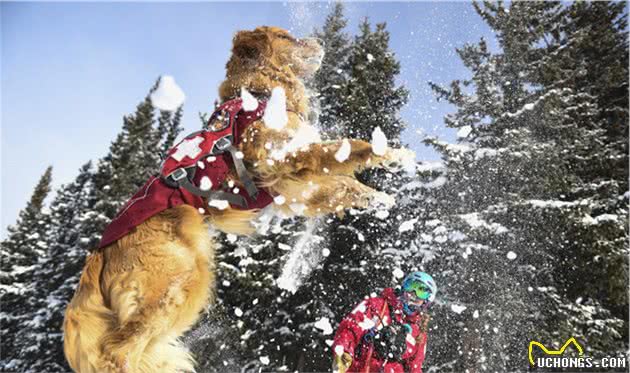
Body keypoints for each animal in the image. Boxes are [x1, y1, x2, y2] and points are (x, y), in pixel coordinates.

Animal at [63, 26, 410, 372]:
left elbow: (343, 184)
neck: (261, 93)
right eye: (286, 37)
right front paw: (393, 154)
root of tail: (99, 253)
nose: (320, 42)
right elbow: (346, 148)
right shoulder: (281, 158)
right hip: (179, 273)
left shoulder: (290, 186)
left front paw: (380, 198)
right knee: (117, 350)